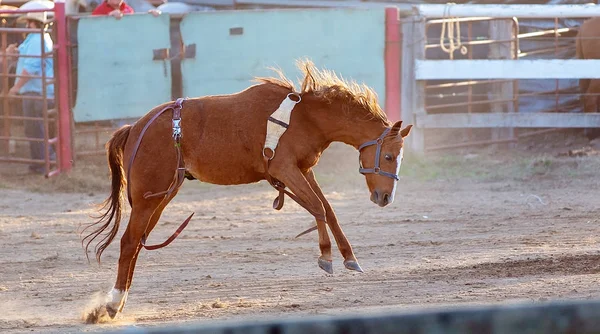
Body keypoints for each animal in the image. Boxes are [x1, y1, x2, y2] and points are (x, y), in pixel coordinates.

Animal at [81, 59, 412, 320]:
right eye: (388, 156)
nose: (385, 197)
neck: (305, 118)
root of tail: (135, 128)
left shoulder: (304, 170)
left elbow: (328, 210)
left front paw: (349, 257)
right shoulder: (285, 169)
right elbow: (318, 208)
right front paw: (327, 258)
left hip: (160, 197)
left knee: (137, 244)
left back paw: (114, 304)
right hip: (149, 197)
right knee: (129, 242)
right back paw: (113, 304)